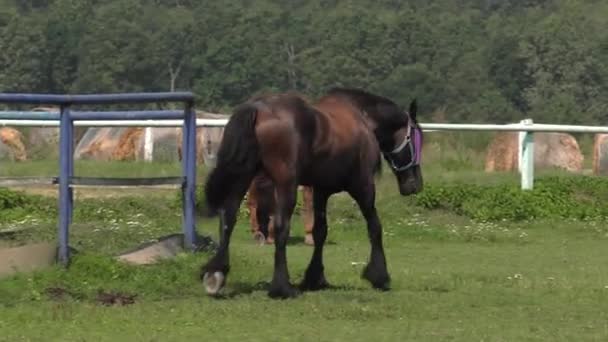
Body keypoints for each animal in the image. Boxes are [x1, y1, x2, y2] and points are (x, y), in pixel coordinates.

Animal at [200, 88, 422, 300]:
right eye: (417, 138)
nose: (416, 184)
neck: (362, 118)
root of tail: (258, 109)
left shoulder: (321, 191)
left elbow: (320, 231)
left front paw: (315, 278)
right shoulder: (363, 187)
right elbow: (375, 227)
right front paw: (379, 276)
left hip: (244, 177)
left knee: (228, 218)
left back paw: (216, 274)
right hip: (285, 184)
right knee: (280, 227)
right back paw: (282, 287)